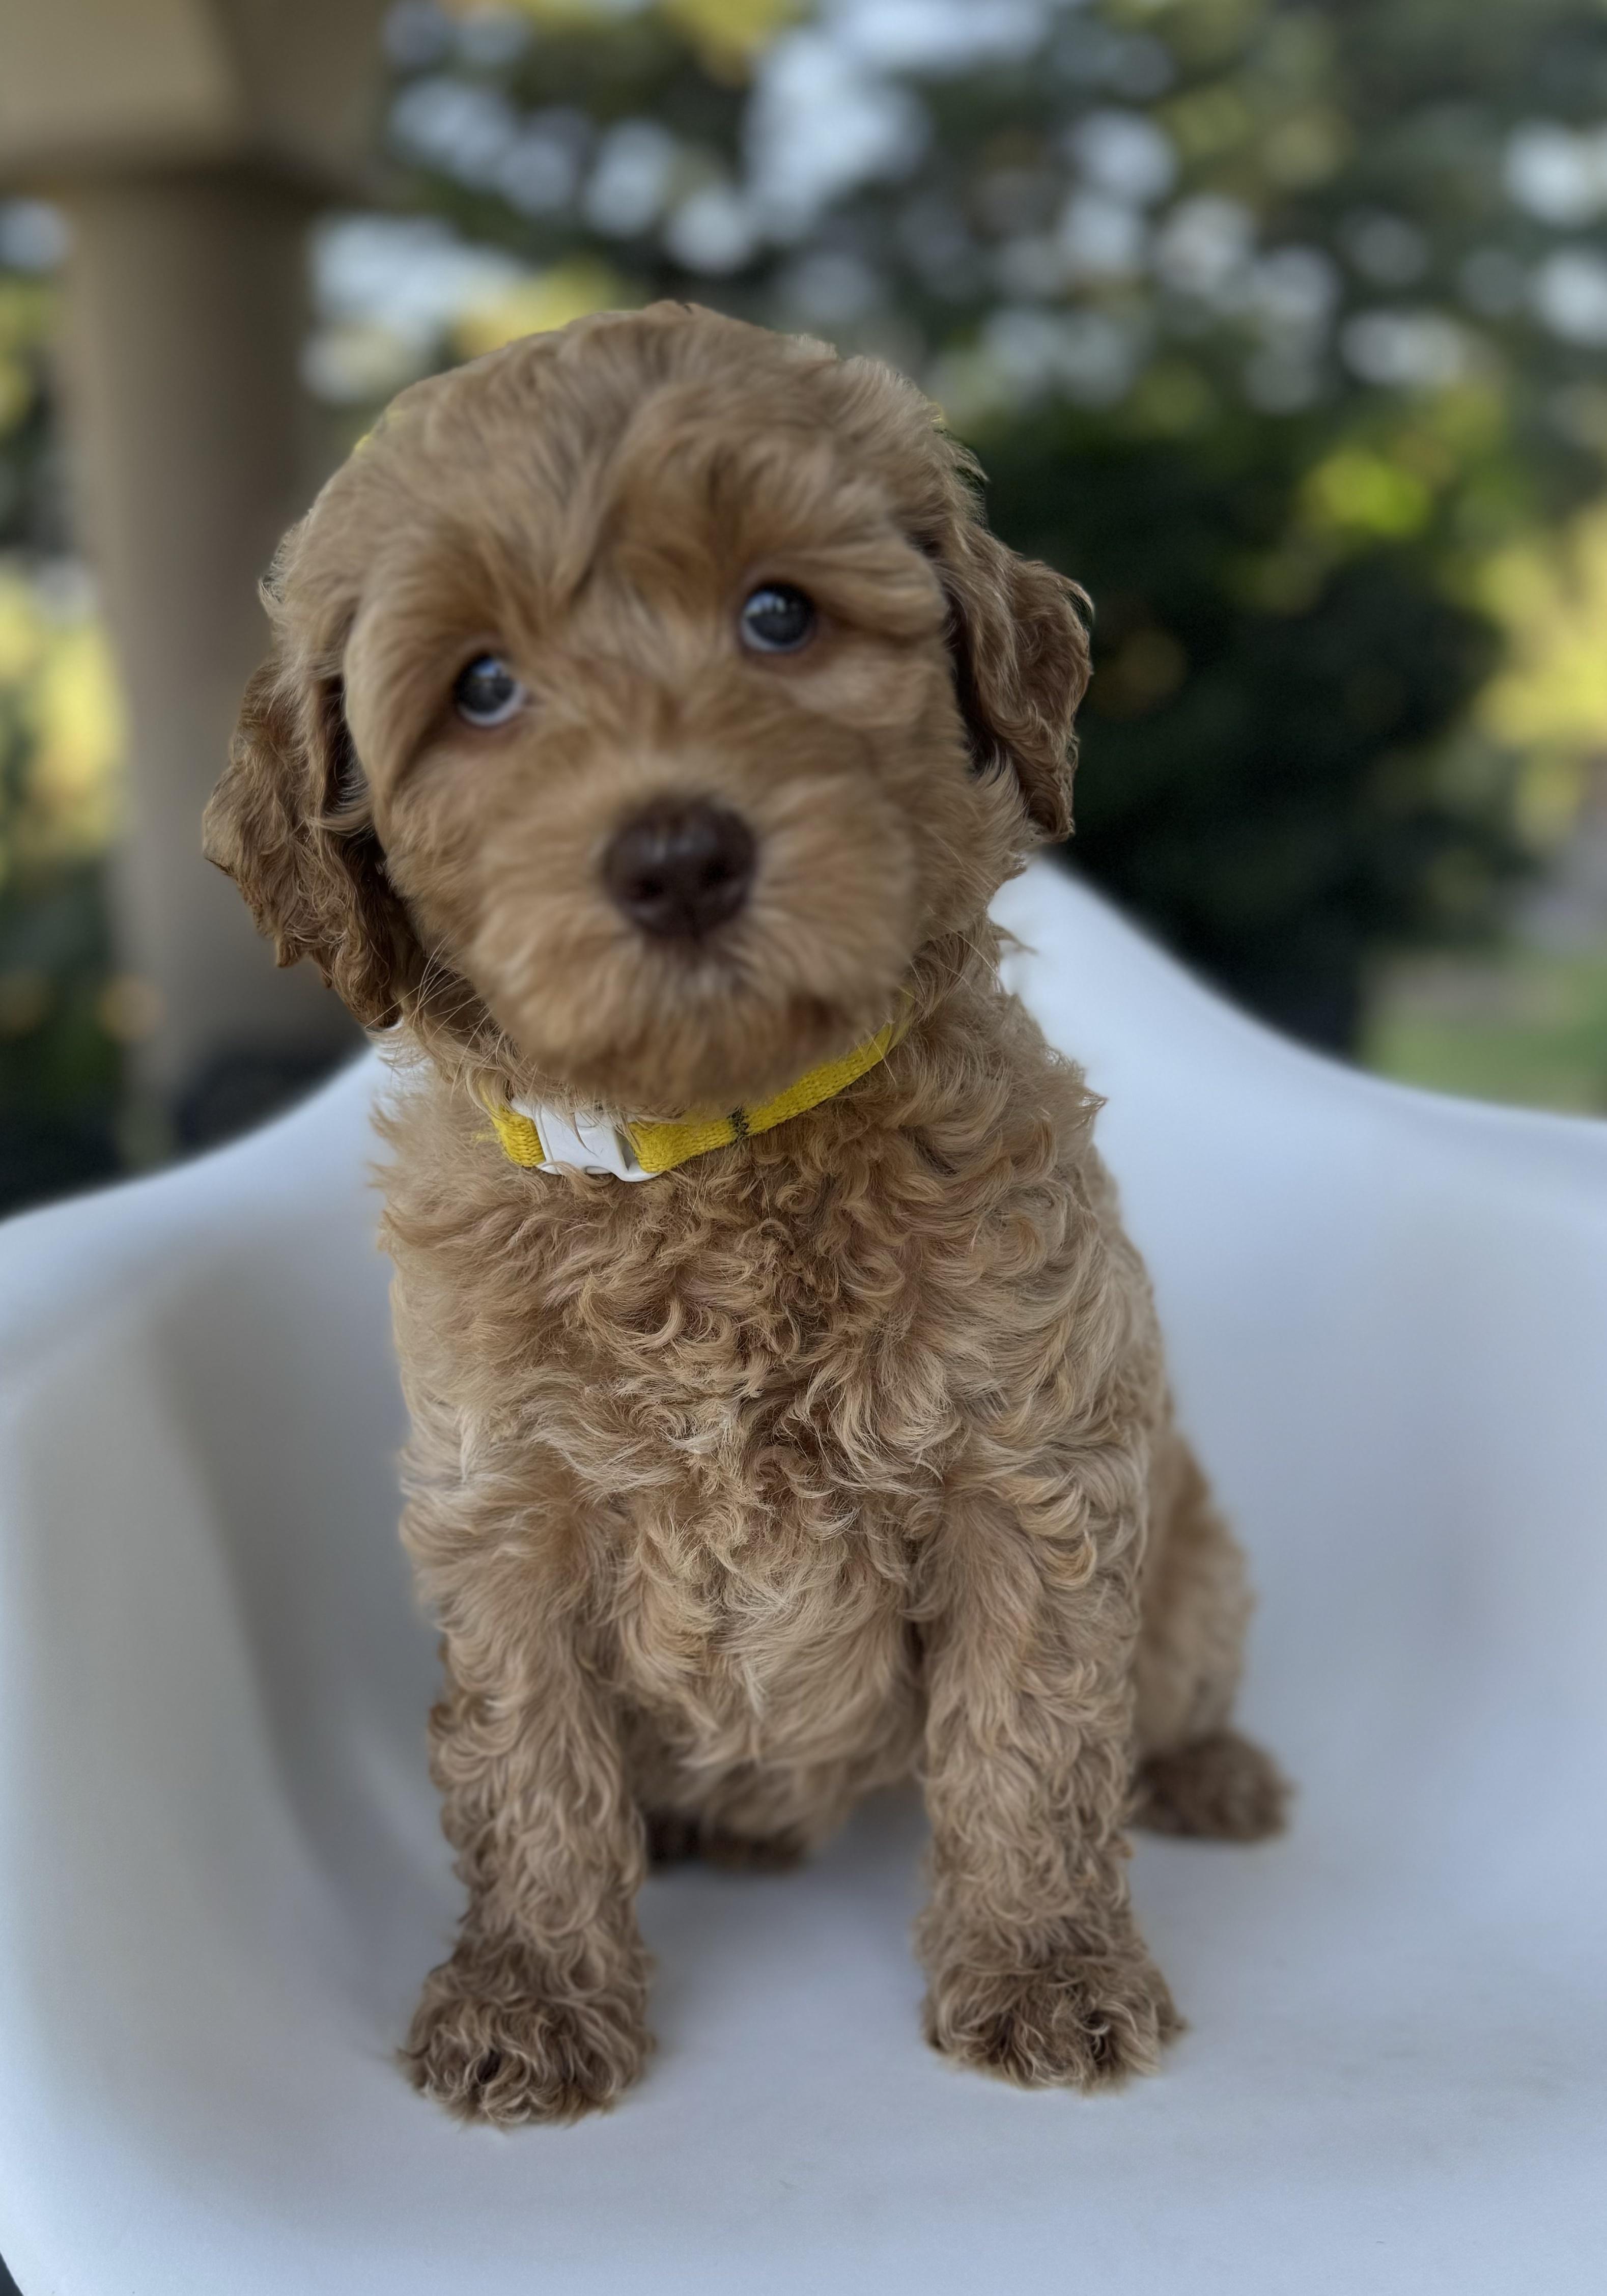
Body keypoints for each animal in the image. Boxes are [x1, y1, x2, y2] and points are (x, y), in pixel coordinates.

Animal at [204, 303, 1286, 2126]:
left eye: (778, 613)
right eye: (480, 686)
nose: (678, 855)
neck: (708, 1146)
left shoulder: (1024, 1471)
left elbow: (1028, 1738)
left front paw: (1042, 1971)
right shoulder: (503, 1510)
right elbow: (525, 1762)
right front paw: (531, 1996)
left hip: (1193, 1552)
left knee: (1169, 1684)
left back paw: (1207, 1773)